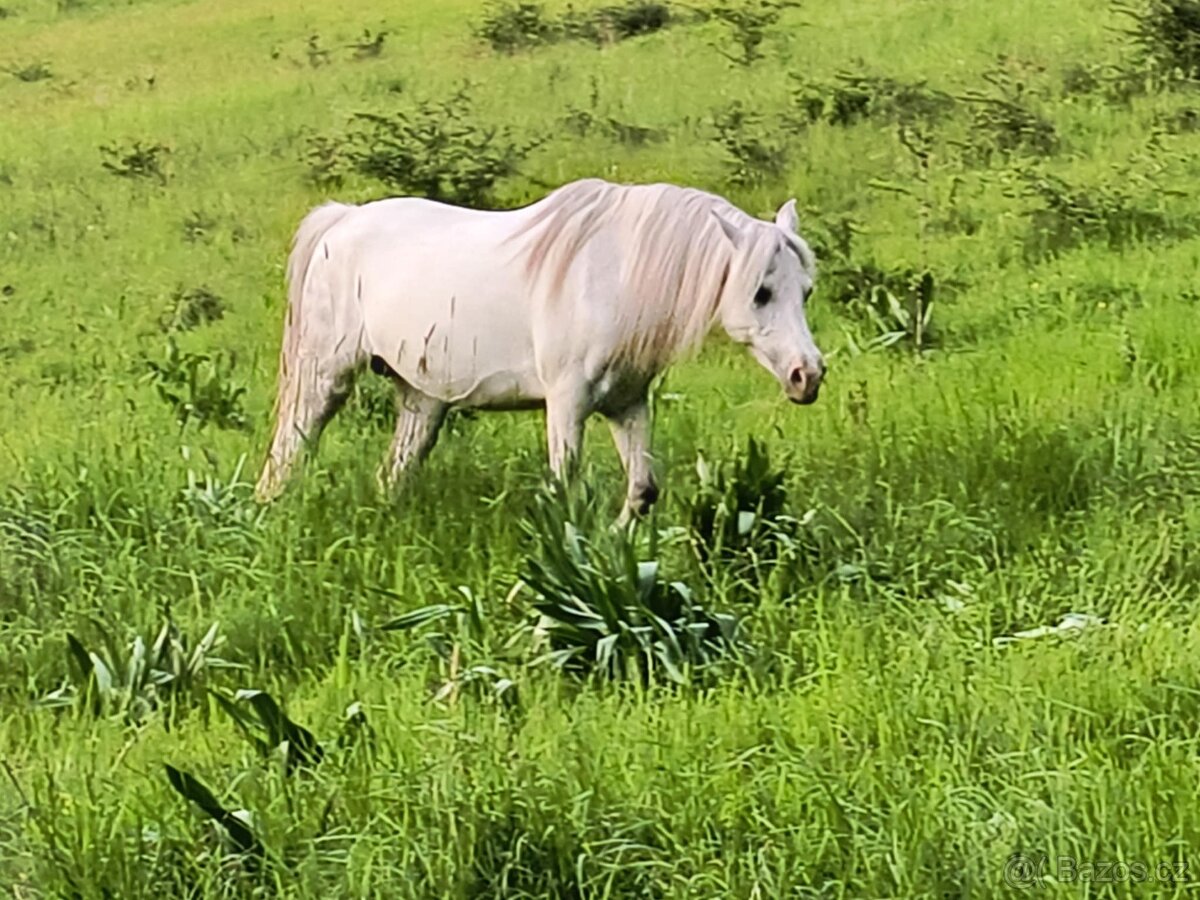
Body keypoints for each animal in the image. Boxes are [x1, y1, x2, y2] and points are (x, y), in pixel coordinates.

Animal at [254, 177, 825, 519]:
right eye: (761, 292)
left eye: (806, 291)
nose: (808, 376)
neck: (613, 278)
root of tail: (342, 219)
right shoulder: (566, 402)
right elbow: (564, 486)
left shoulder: (626, 403)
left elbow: (643, 490)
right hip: (325, 374)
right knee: (288, 452)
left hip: (422, 397)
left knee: (393, 471)